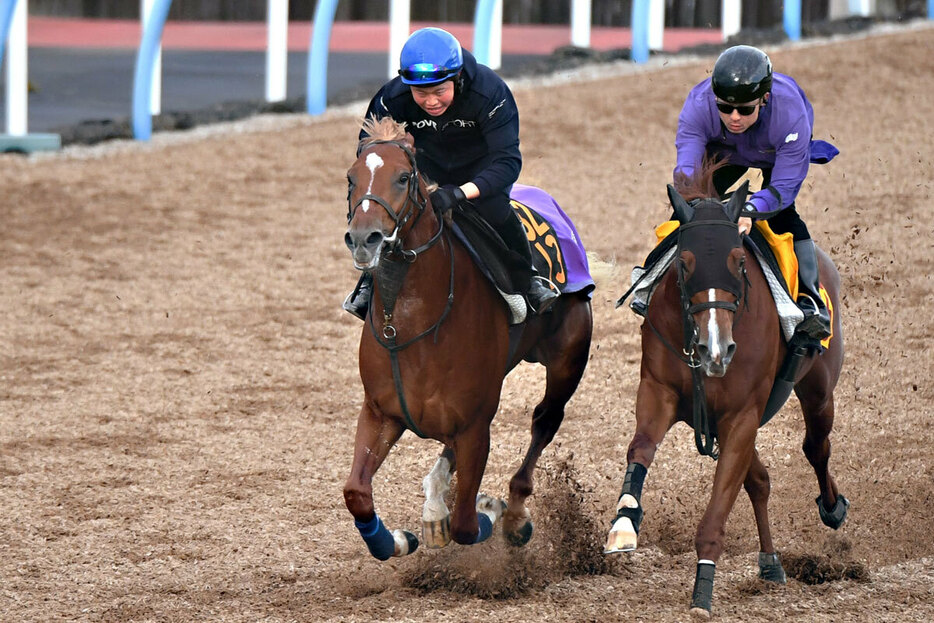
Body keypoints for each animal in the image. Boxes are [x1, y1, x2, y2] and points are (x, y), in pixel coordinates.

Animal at [342, 117, 592, 560]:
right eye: (352, 178)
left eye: (404, 178)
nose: (363, 238)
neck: (412, 327)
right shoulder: (380, 412)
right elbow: (356, 493)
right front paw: (400, 539)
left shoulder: (476, 425)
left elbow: (465, 524)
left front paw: (490, 509)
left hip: (568, 360)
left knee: (544, 422)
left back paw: (514, 516)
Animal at [604, 162, 852, 620]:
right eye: (684, 264)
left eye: (738, 262)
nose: (716, 350)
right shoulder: (660, 391)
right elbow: (641, 447)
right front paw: (624, 523)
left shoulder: (741, 416)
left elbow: (720, 506)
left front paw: (702, 591)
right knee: (760, 480)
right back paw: (770, 562)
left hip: (818, 389)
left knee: (815, 447)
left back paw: (831, 507)